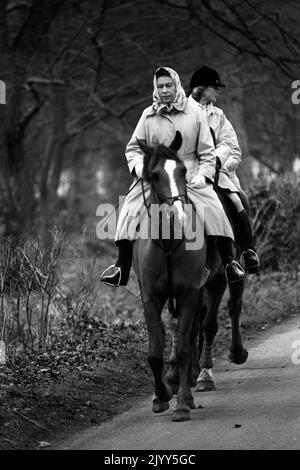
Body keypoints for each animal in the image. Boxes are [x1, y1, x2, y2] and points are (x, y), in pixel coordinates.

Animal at [132, 130, 247, 420]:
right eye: (154, 175)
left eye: (183, 171)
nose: (180, 213)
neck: (168, 240)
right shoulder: (151, 297)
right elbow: (155, 351)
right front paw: (161, 396)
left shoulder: (189, 293)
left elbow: (186, 344)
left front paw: (182, 404)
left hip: (221, 278)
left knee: (222, 314)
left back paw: (216, 367)